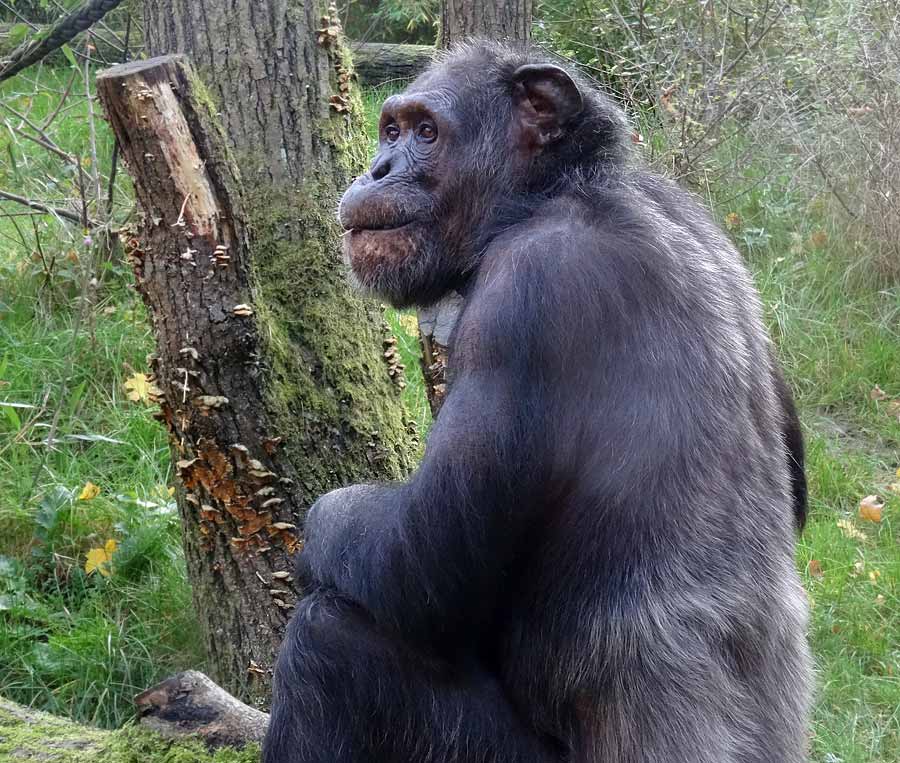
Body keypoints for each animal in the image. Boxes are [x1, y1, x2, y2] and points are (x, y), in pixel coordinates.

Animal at [262, 40, 816, 763]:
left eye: (425, 132)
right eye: (391, 130)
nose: (376, 167)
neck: (551, 195)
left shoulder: (520, 305)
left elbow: (417, 562)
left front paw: (316, 529)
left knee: (328, 644)